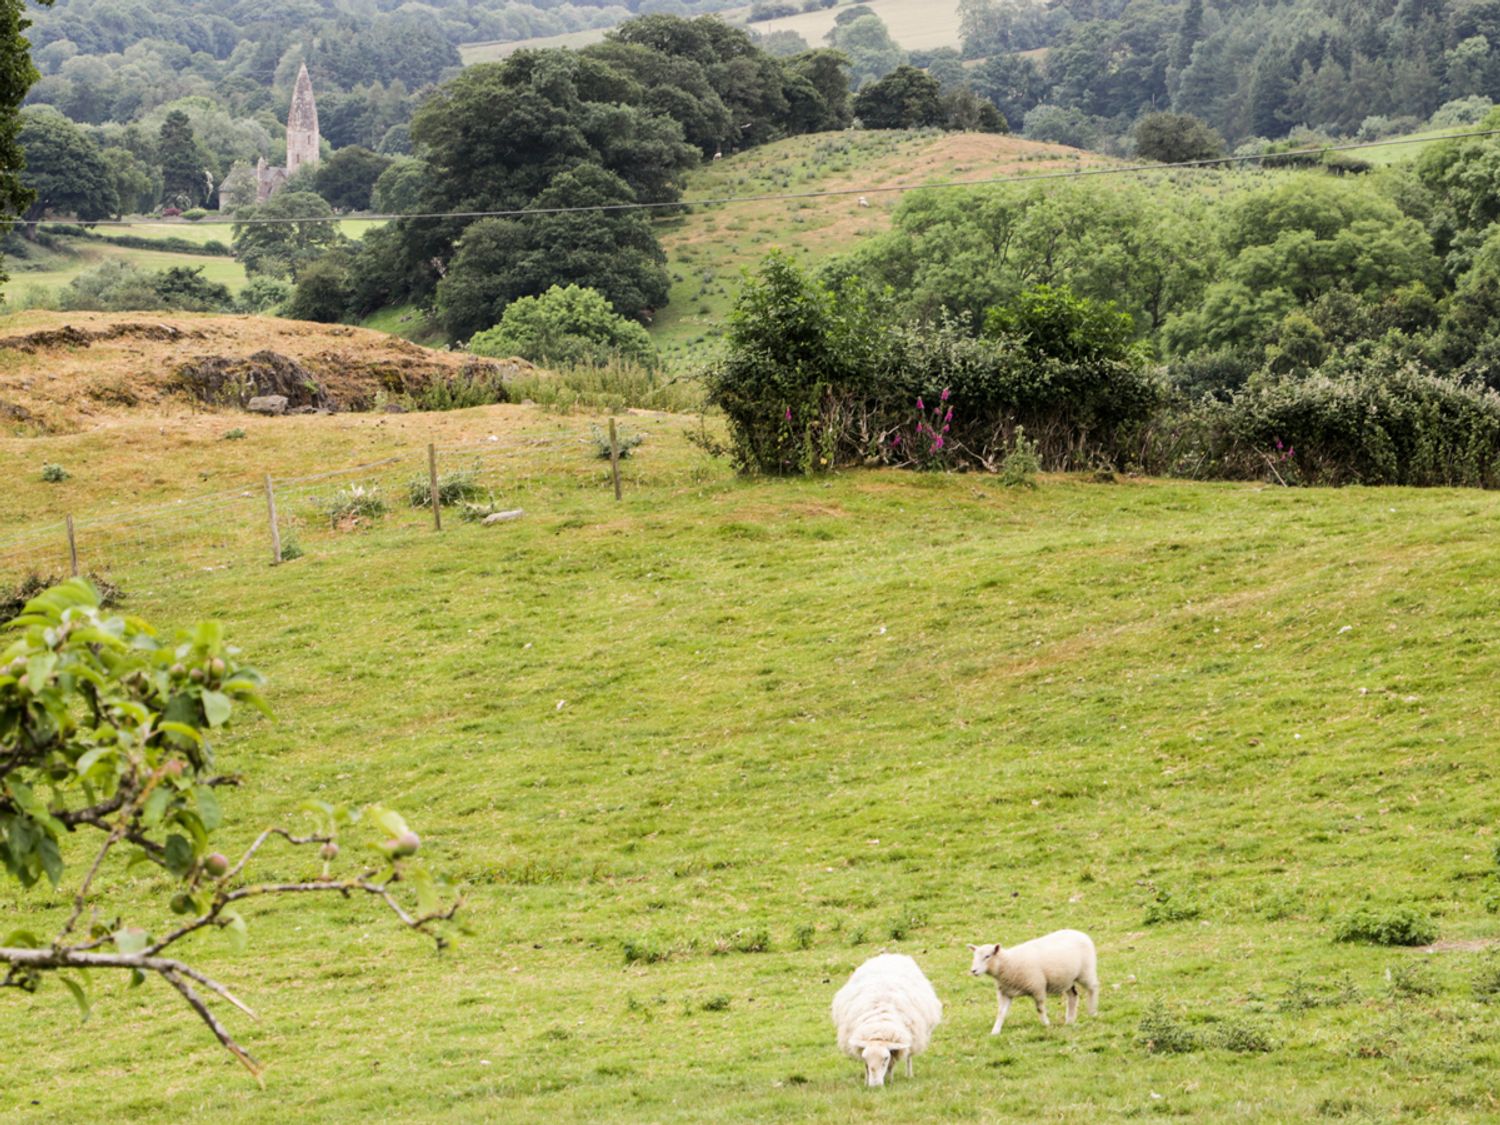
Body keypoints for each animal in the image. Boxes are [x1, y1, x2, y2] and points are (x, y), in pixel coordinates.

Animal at [828, 954, 942, 1086]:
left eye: (885, 1058)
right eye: (865, 1058)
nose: (875, 1086)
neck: (879, 1026)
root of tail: (891, 955)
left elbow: (891, 1066)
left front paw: (890, 1080)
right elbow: (866, 1068)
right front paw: (866, 1081)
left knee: (909, 1057)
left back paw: (909, 1074)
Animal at [966, 930, 1098, 1038]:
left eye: (987, 956)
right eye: (974, 956)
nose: (973, 971)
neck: (1007, 964)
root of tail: (1081, 933)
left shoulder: (1037, 987)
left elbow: (1040, 1009)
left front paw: (1046, 1024)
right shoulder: (1005, 993)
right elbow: (1001, 1013)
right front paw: (995, 1031)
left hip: (1086, 972)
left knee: (1093, 988)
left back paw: (1093, 1012)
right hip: (1067, 979)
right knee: (1073, 996)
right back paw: (1069, 1020)